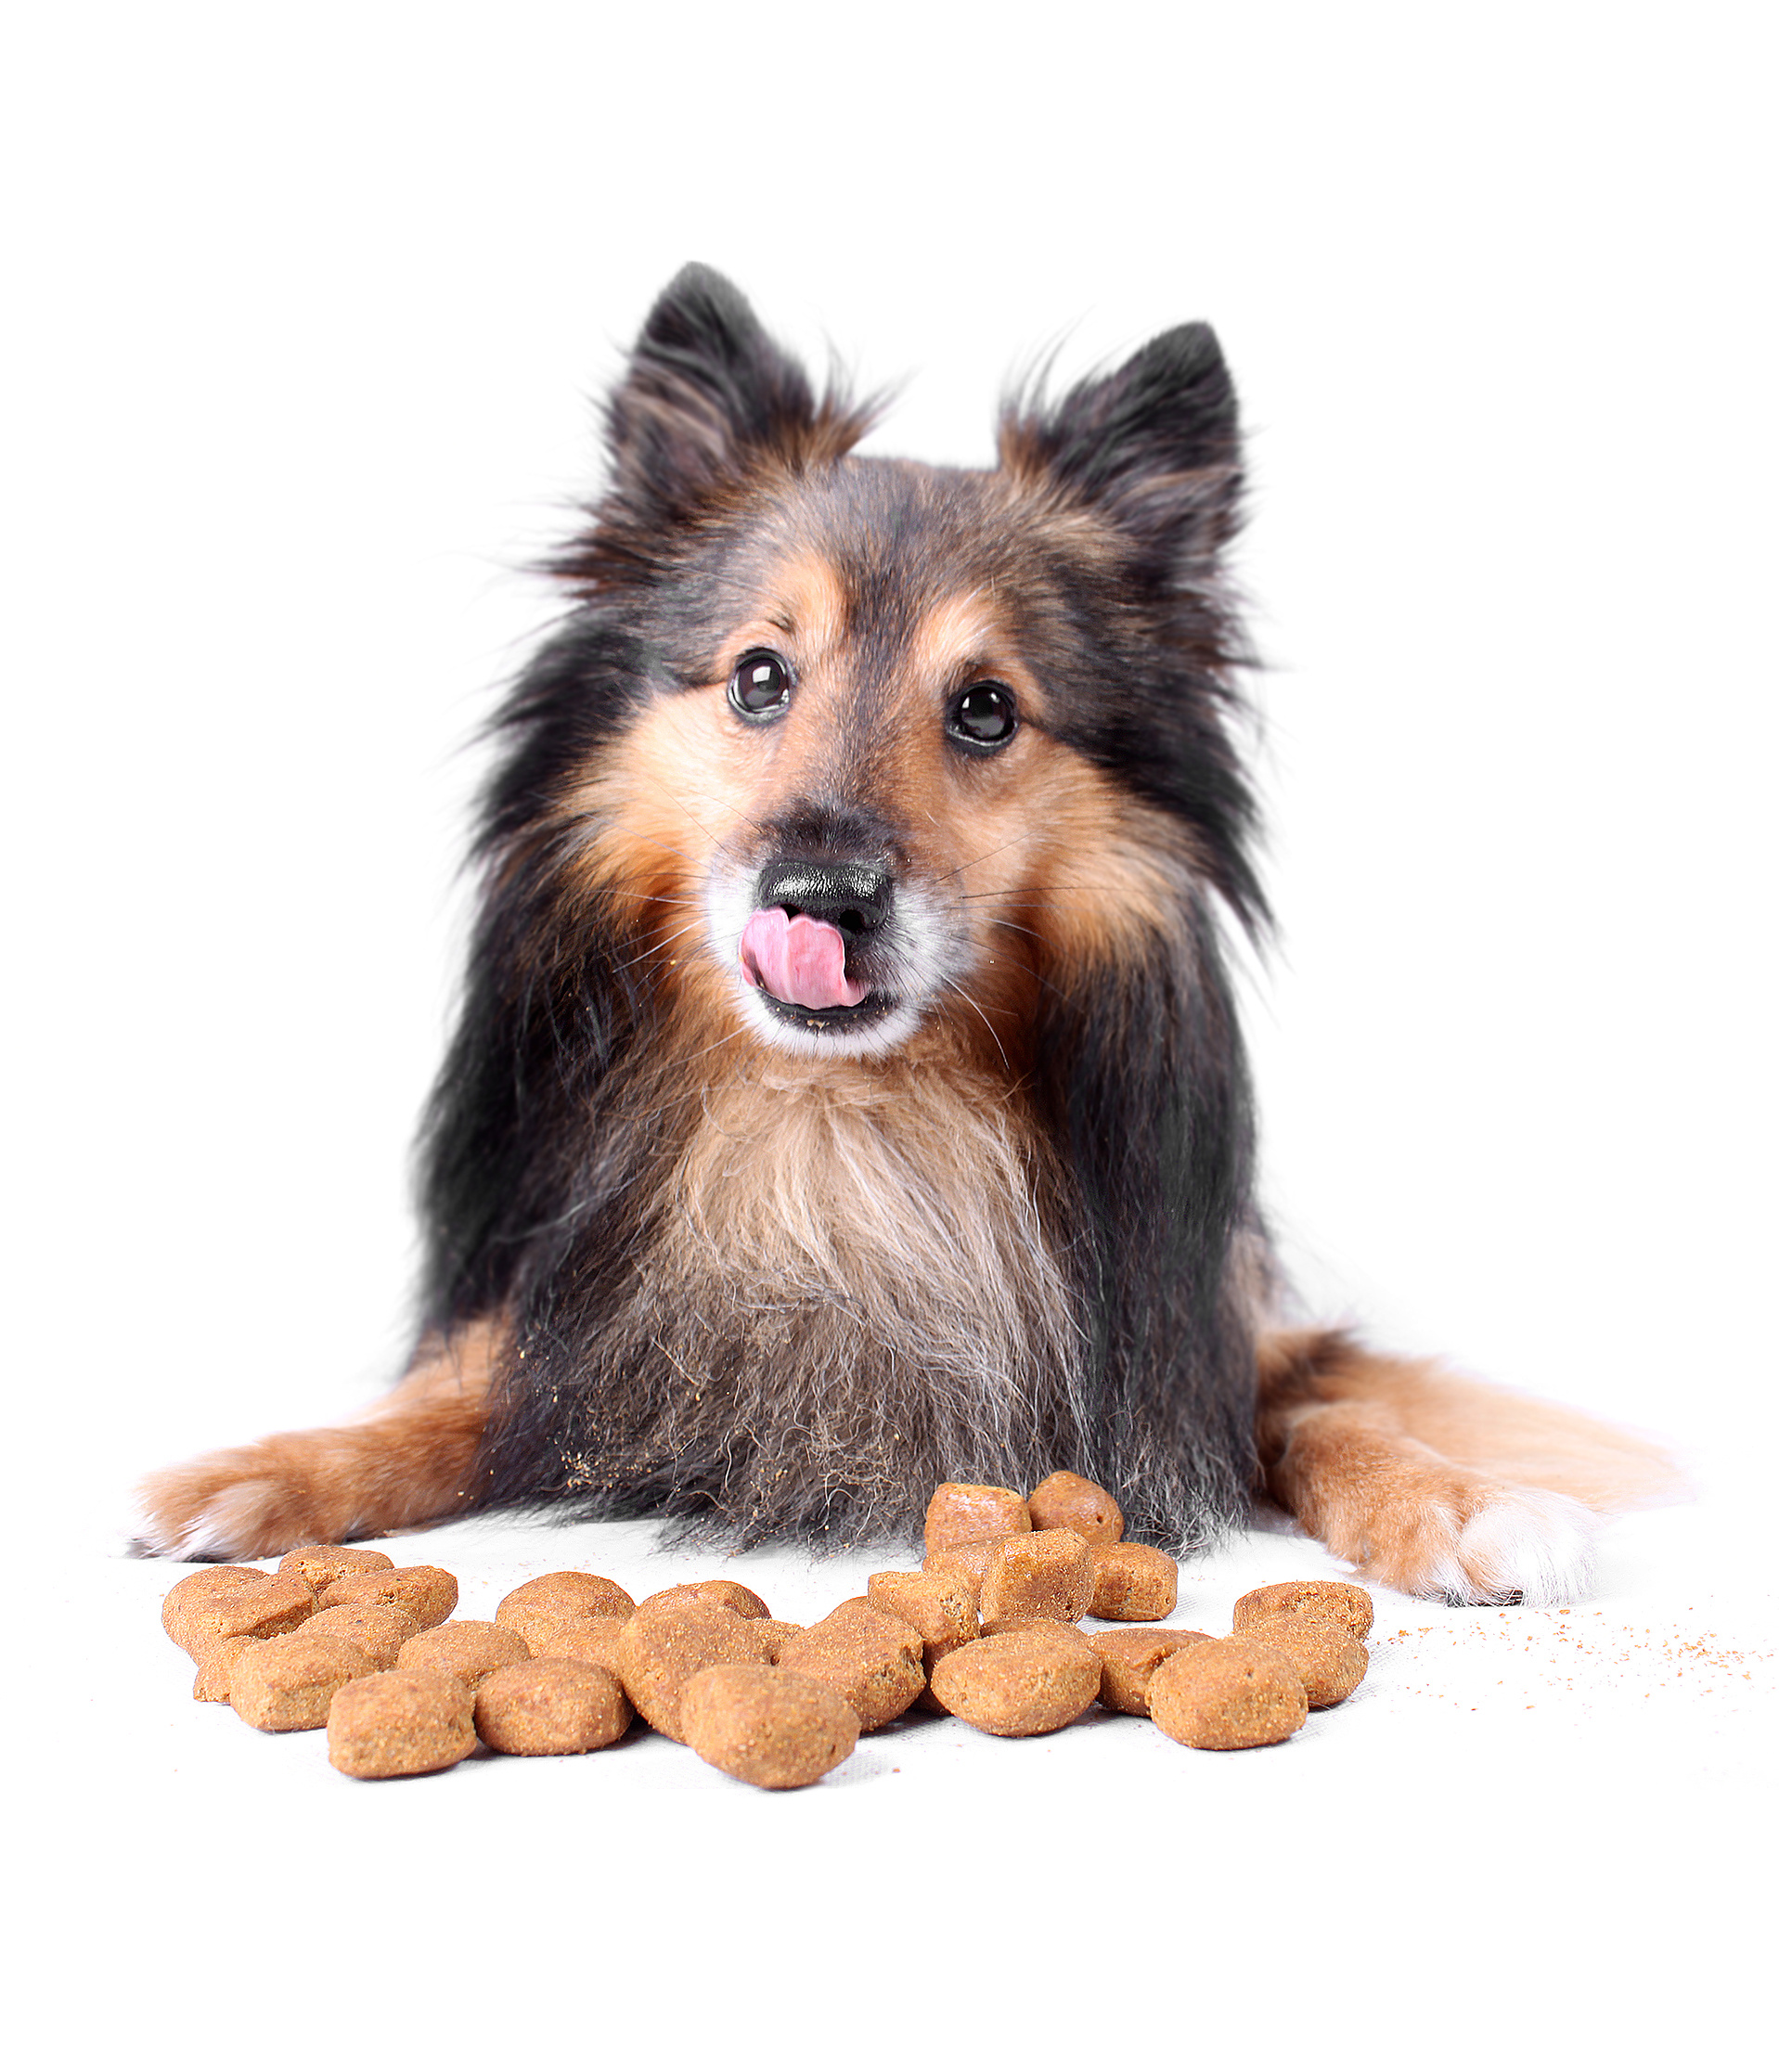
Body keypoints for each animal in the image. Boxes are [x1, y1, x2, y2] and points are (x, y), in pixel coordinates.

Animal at [135, 267, 1667, 1607]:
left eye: (985, 708)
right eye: (759, 677)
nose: (816, 896)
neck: (843, 1126)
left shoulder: (1224, 1340)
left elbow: (1329, 1414)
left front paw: (1461, 1503)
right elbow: (455, 1392)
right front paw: (272, 1465)